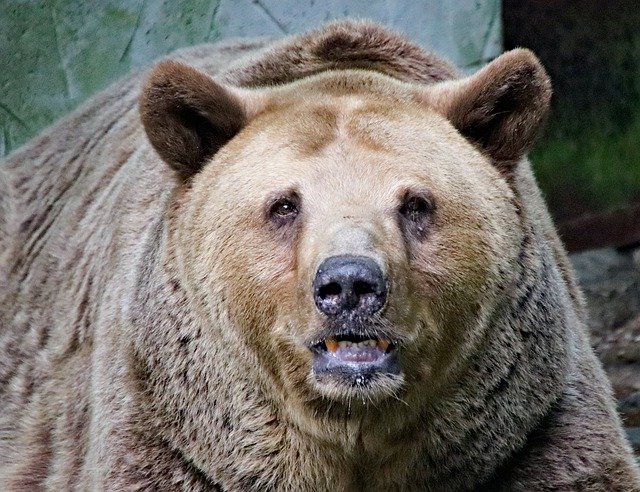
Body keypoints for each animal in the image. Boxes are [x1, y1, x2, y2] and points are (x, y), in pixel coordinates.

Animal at [1, 18, 640, 488]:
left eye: (415, 204)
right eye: (284, 205)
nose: (350, 285)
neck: (348, 435)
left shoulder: (529, 431)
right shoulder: (169, 434)